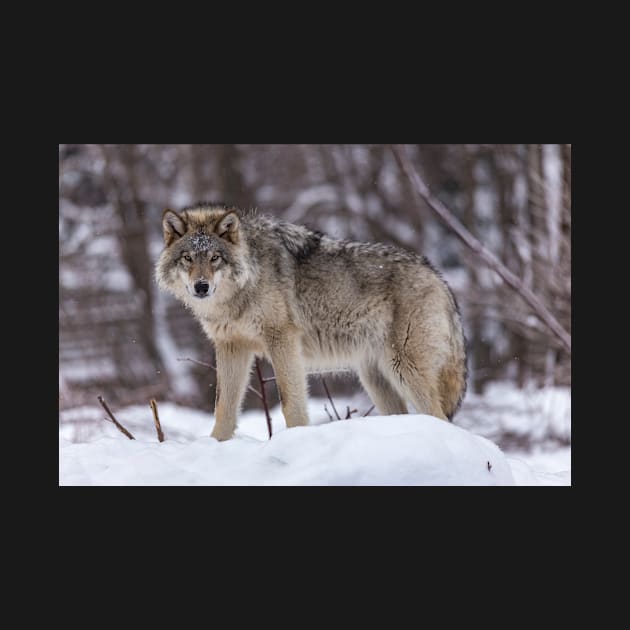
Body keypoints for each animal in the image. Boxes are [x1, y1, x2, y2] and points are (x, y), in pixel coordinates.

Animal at [156, 202, 466, 440]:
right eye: (187, 258)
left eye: (215, 258)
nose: (201, 287)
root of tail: (438, 277)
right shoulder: (231, 346)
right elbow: (224, 408)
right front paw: (216, 444)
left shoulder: (281, 339)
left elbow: (290, 402)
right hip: (376, 378)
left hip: (404, 370)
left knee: (439, 416)